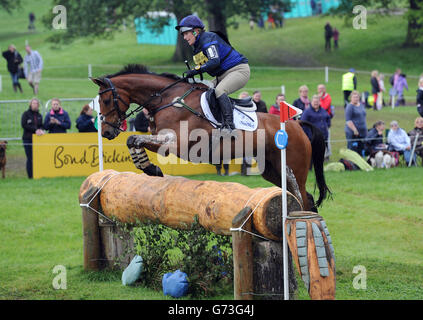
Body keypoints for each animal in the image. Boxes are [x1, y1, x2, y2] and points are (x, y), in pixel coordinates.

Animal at [92, 63, 332, 211]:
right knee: (305, 198)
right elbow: (133, 141)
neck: (168, 99)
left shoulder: (178, 143)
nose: (106, 132)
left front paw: (152, 169)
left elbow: (134, 139)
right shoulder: (160, 140)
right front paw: (151, 169)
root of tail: (297, 124)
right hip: (272, 170)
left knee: (302, 198)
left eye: (105, 101)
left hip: (292, 169)